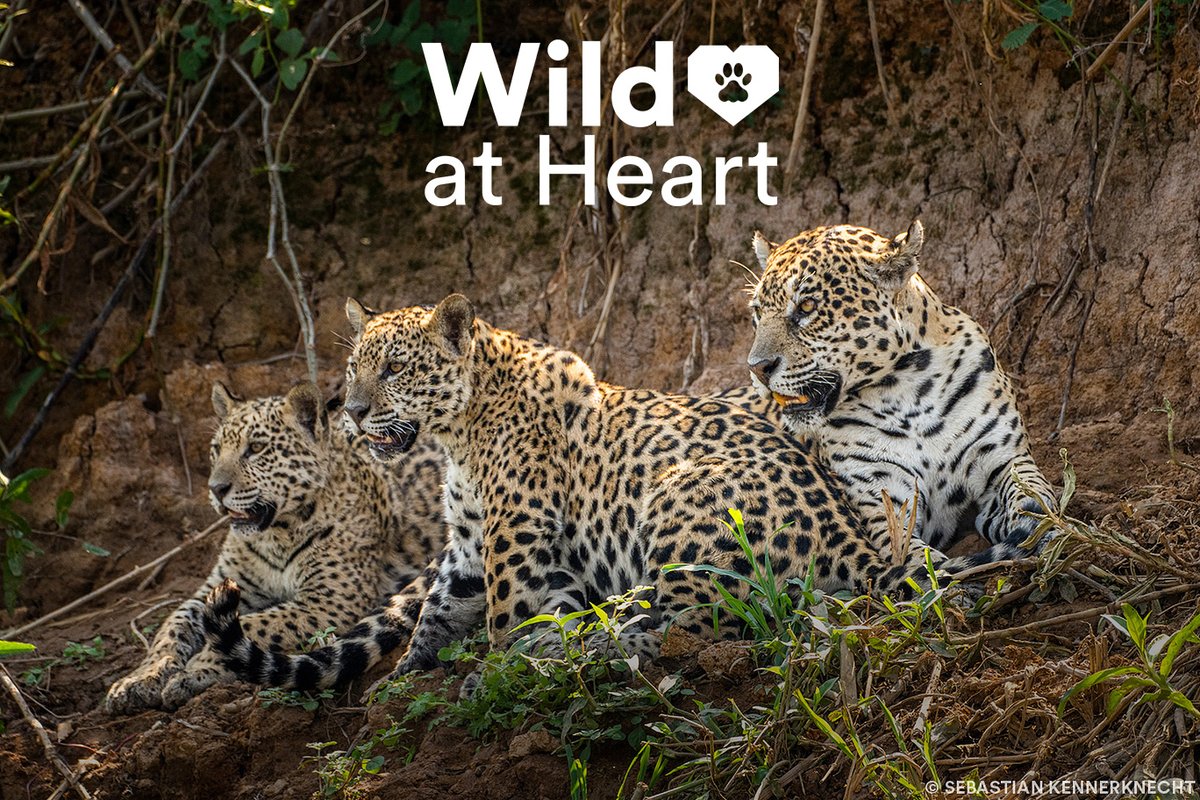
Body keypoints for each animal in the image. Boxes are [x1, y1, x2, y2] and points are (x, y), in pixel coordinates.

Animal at [103, 380, 443, 713]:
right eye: (217, 450)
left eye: (256, 448)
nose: (216, 488)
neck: (275, 536)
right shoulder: (214, 589)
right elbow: (170, 628)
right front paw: (138, 679)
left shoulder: (329, 602)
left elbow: (258, 624)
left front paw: (199, 667)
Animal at [203, 293, 981, 692]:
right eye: (353, 368)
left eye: (395, 368)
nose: (356, 412)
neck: (460, 432)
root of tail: (858, 542)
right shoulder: (467, 543)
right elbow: (438, 609)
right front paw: (404, 680)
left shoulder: (517, 534)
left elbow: (507, 617)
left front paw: (496, 673)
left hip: (676, 497)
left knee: (713, 620)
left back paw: (602, 646)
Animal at [746, 220, 1057, 568]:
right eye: (758, 312)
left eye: (807, 306)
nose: (757, 367)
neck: (910, 393)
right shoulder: (882, 490)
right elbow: (911, 556)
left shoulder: (1004, 458)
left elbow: (1031, 491)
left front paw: (1045, 528)